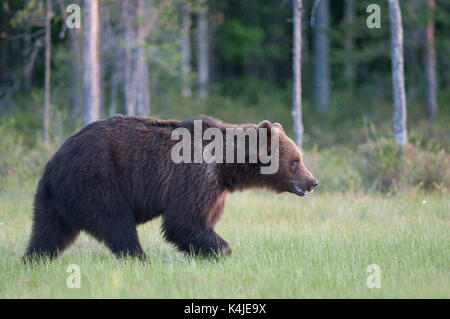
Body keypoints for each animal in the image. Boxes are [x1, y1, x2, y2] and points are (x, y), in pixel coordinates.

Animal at [23, 116, 316, 262]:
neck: (226, 166)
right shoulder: (194, 177)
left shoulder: (215, 189)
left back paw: (33, 259)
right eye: (296, 160)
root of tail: (53, 165)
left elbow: (203, 221)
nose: (313, 182)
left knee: (48, 232)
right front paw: (221, 249)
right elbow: (184, 222)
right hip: (97, 180)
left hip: (56, 199)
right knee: (117, 223)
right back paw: (139, 258)